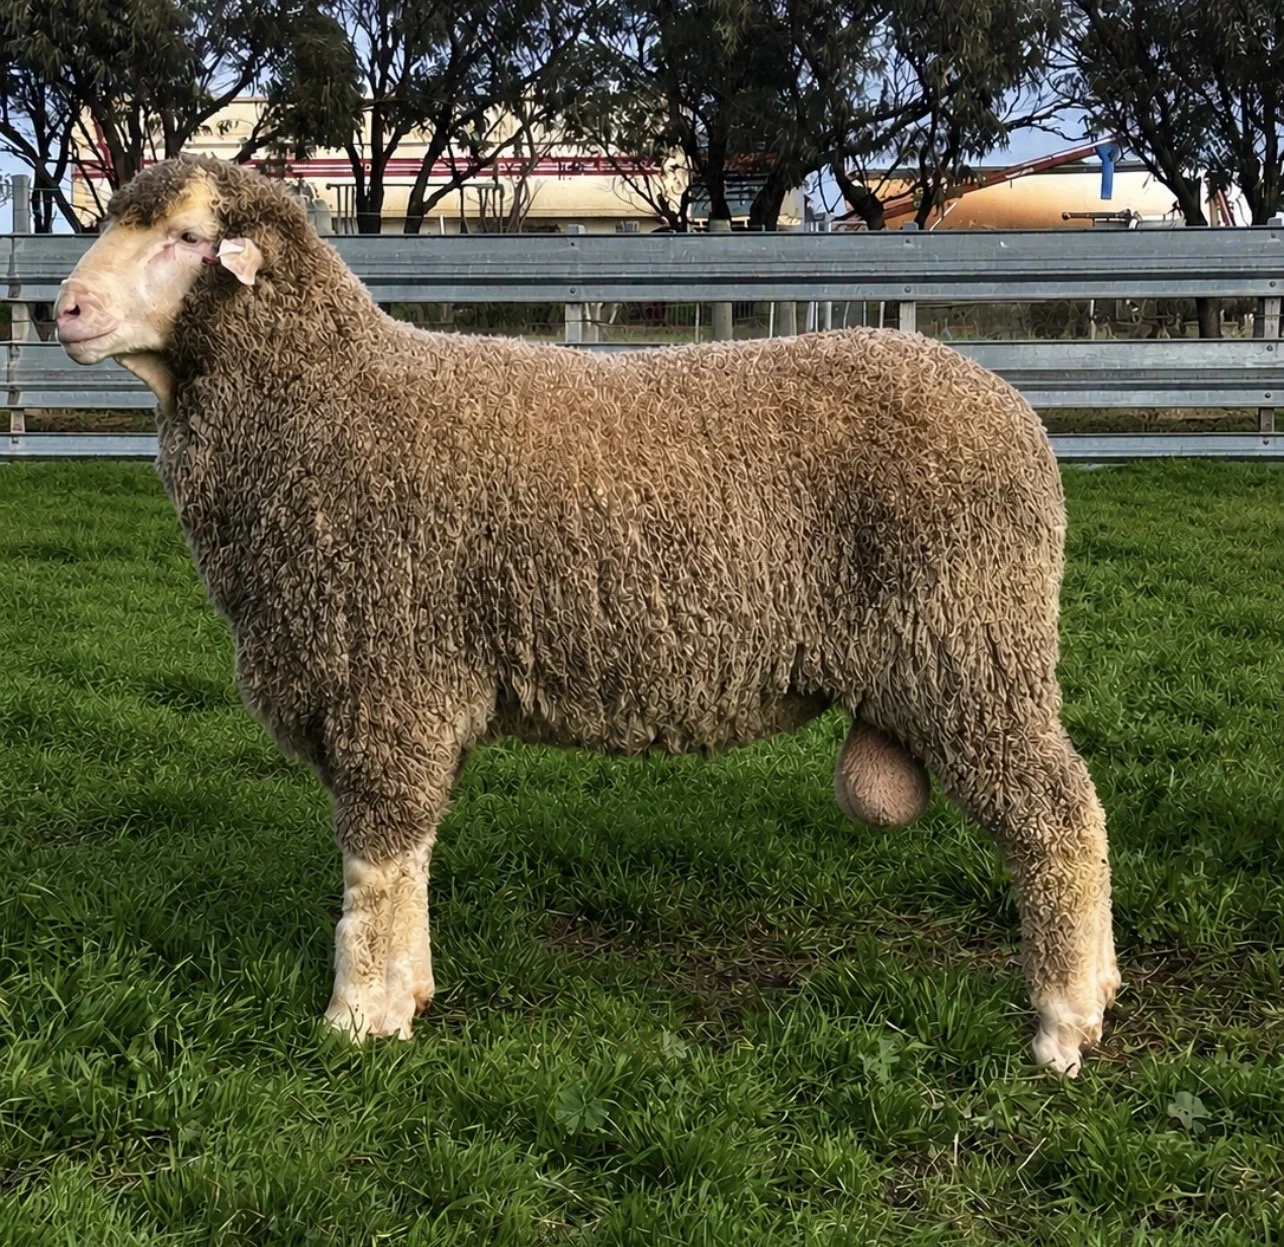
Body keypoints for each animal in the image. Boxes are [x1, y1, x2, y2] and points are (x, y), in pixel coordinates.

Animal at [54, 154, 1119, 1076]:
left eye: (187, 238)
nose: (62, 309)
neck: (321, 407)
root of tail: (1015, 413)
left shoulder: (386, 678)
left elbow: (376, 868)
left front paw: (355, 1020)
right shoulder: (409, 691)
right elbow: (413, 862)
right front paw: (411, 993)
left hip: (969, 643)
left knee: (1059, 816)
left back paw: (1064, 1021)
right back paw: (1102, 986)